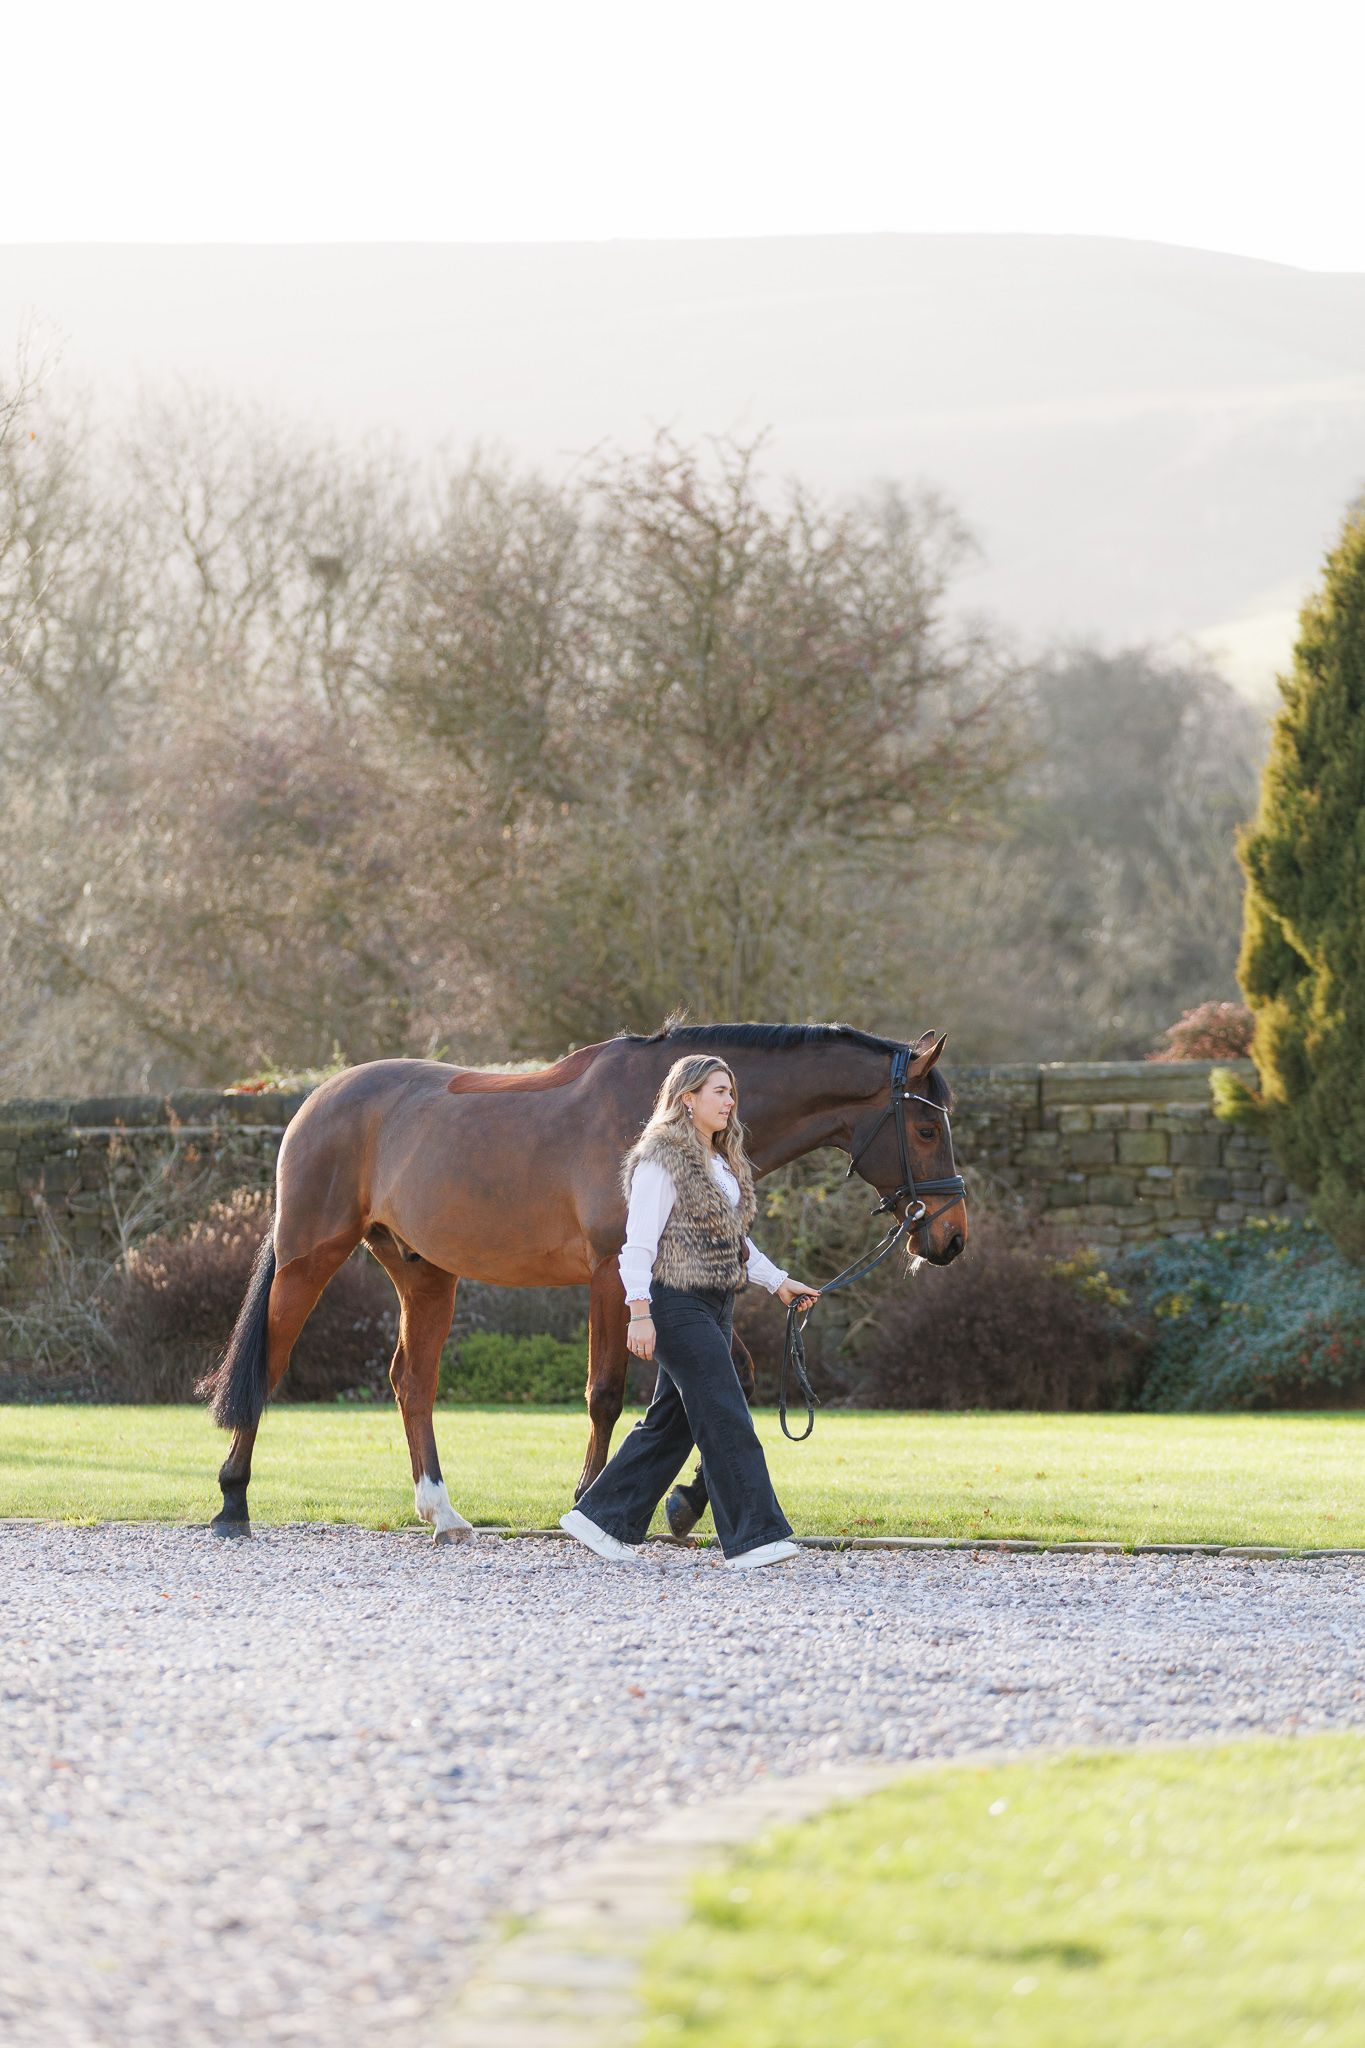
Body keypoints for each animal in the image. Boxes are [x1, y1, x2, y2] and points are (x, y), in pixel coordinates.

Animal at [200, 1020, 967, 1540]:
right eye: (927, 1132)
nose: (950, 1238)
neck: (653, 1112)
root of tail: (316, 1101)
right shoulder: (612, 1274)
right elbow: (605, 1394)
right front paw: (590, 1500)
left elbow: (728, 1378)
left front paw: (684, 1501)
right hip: (309, 1257)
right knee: (269, 1365)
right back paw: (233, 1503)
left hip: (425, 1274)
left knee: (411, 1383)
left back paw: (441, 1512)